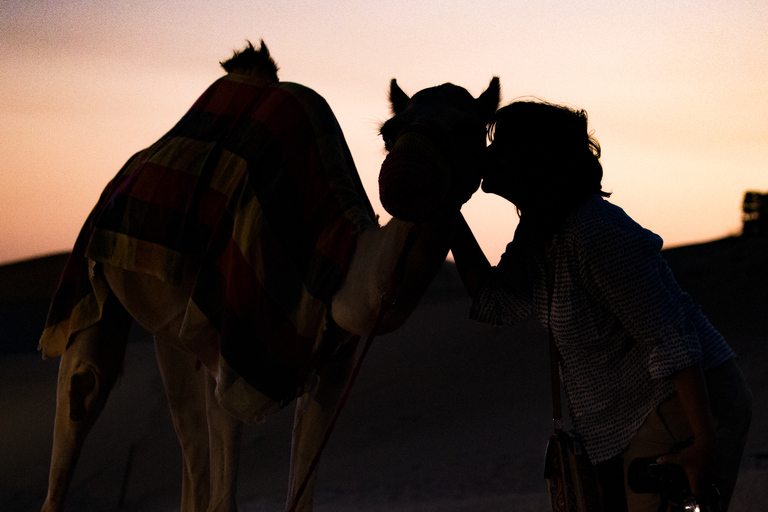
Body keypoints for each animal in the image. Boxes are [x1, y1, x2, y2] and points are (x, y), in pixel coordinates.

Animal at [39, 41, 500, 512]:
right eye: (388, 132)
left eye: (471, 130)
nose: (405, 181)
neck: (334, 257)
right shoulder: (232, 341)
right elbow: (225, 499)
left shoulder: (332, 362)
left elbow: (300, 493)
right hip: (93, 266)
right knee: (85, 385)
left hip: (170, 328)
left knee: (187, 433)